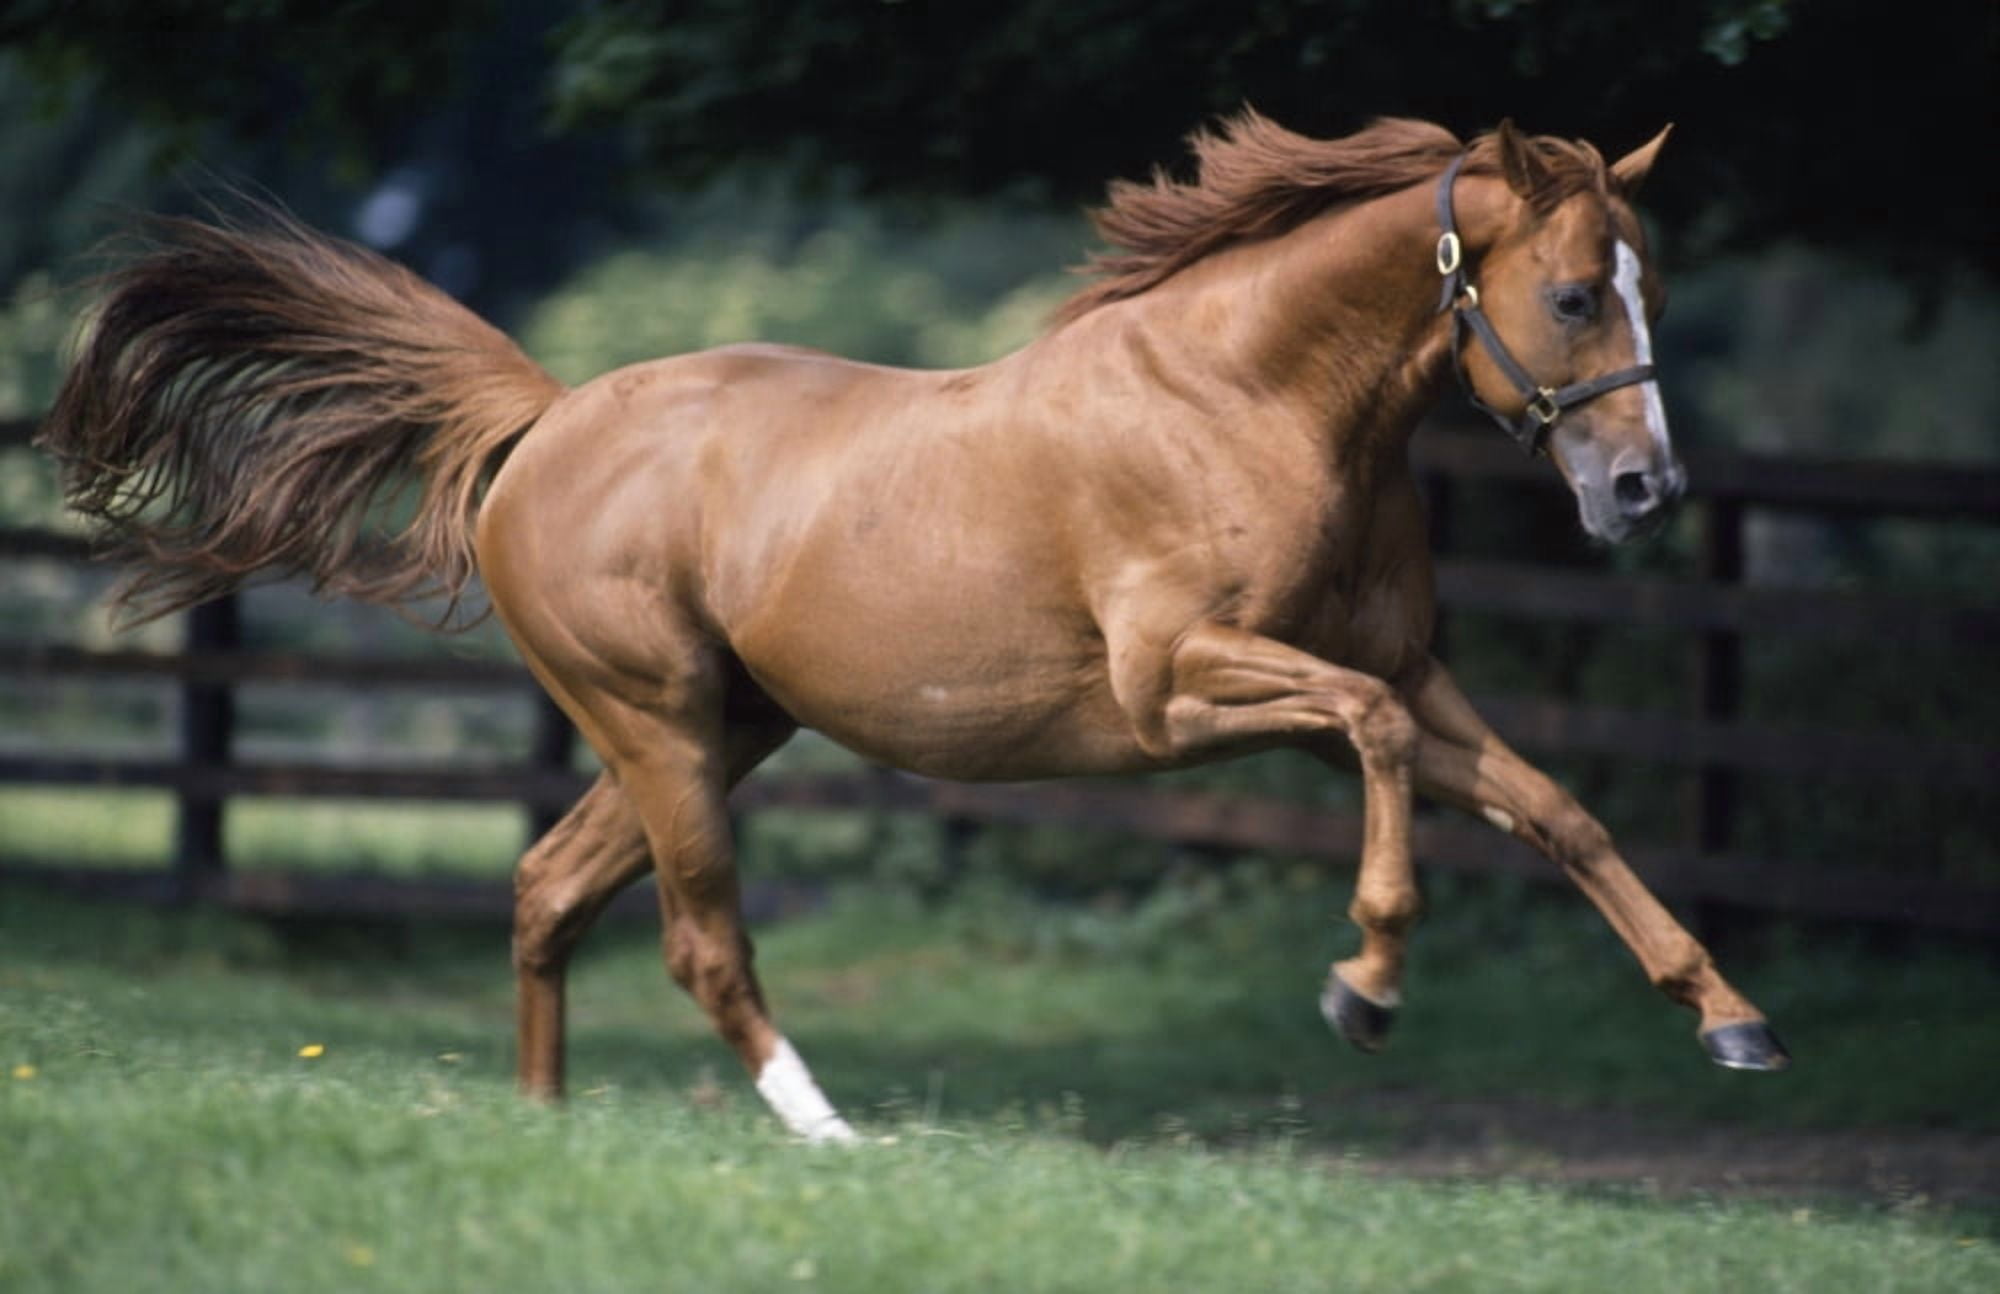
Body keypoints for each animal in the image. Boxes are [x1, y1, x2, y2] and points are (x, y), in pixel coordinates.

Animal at [39, 113, 1788, 1144]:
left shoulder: (1412, 668)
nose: (1645, 489)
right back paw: (827, 1131)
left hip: (726, 726)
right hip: (660, 722)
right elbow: (1370, 747)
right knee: (698, 936)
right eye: (1575, 294)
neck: (1250, 399)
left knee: (546, 889)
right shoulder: (1182, 691)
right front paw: (1364, 984)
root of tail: (545, 422)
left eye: (1647, 283)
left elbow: (1558, 809)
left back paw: (545, 1125)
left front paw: (1732, 1021)